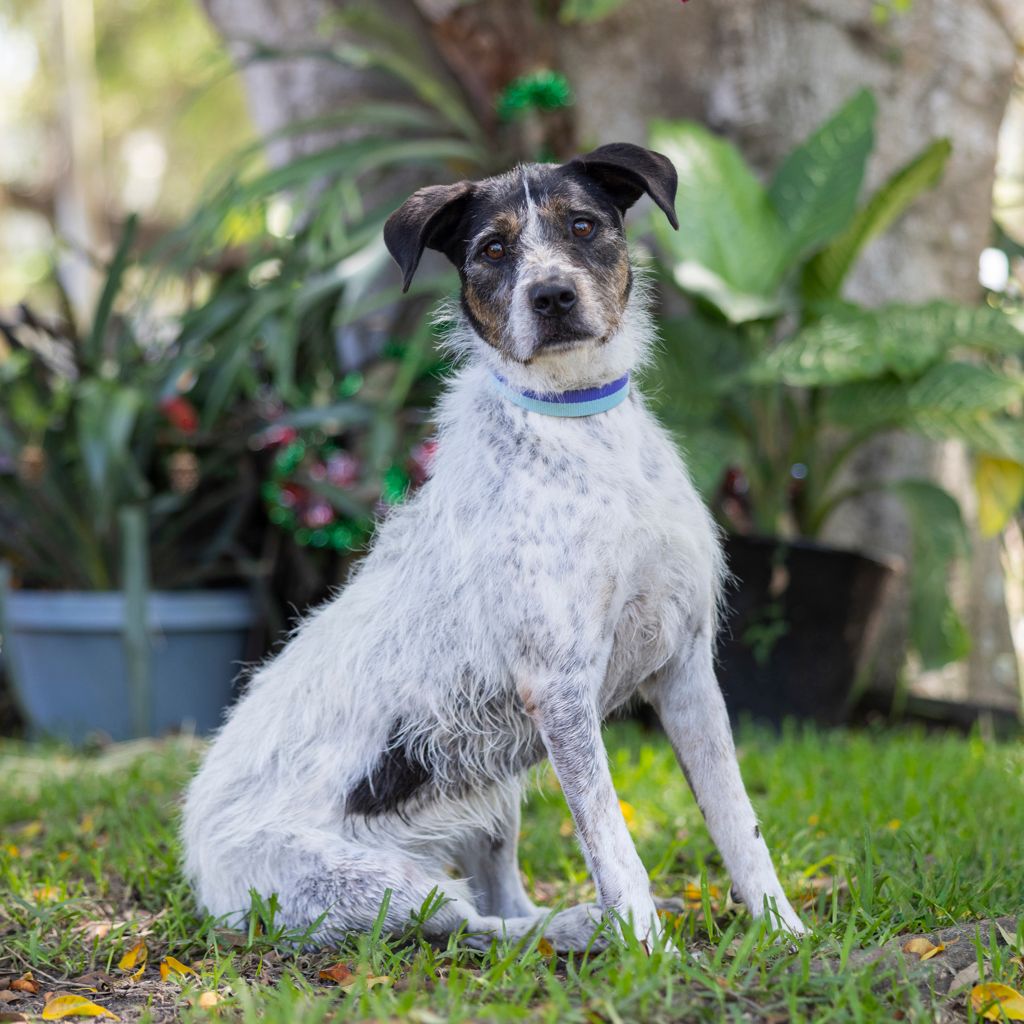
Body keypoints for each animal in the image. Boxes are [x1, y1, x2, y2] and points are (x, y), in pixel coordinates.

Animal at [182, 143, 805, 951]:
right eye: (492, 250)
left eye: (583, 225)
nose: (552, 297)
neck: (578, 429)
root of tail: (198, 867)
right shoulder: (562, 690)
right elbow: (614, 847)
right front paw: (648, 954)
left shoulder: (686, 667)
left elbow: (739, 824)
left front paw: (786, 933)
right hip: (372, 887)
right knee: (476, 925)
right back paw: (584, 927)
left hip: (490, 792)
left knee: (505, 899)